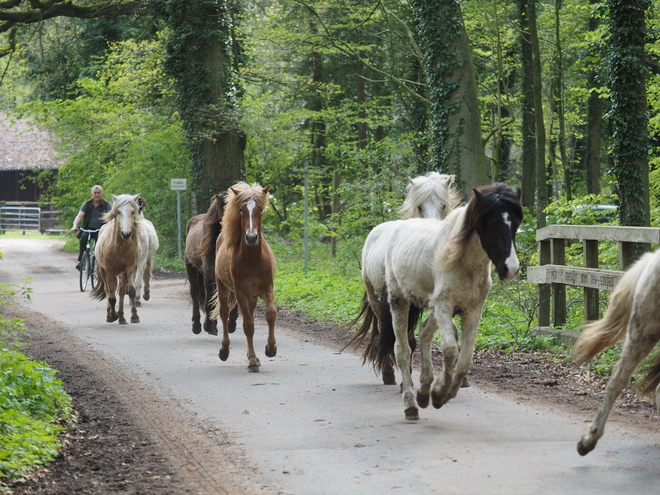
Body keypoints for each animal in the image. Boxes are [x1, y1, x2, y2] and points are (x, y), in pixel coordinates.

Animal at [209, 183, 276, 372]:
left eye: (260, 209)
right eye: (241, 209)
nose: (251, 237)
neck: (252, 259)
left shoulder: (267, 288)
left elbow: (271, 314)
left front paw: (271, 348)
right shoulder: (240, 292)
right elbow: (248, 325)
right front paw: (253, 360)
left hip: (252, 296)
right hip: (224, 288)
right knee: (224, 313)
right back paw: (224, 350)